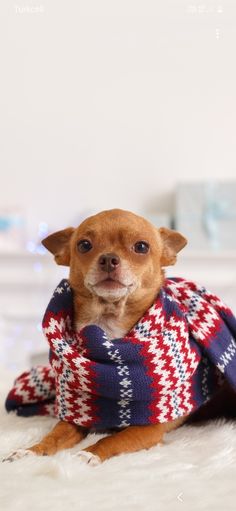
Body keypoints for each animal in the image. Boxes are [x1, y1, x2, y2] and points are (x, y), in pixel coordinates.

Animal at [5, 210, 190, 466]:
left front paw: (88, 454)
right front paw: (30, 451)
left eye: (141, 247)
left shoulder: (150, 427)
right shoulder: (75, 416)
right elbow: (52, 437)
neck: (107, 328)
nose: (109, 258)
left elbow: (114, 439)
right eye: (84, 245)